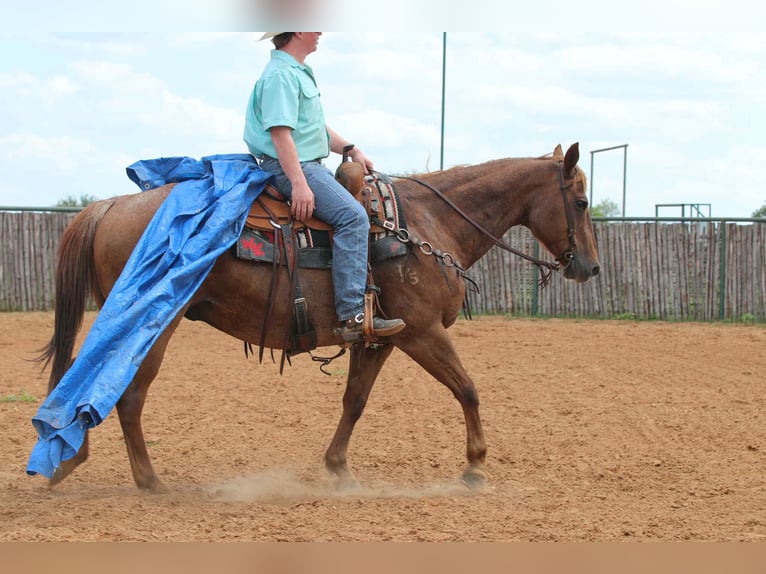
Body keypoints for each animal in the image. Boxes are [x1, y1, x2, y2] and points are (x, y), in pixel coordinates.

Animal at [36, 143, 599, 493]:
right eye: (581, 200)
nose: (590, 267)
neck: (423, 226)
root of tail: (108, 206)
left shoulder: (380, 338)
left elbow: (355, 401)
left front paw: (339, 470)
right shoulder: (423, 334)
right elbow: (468, 389)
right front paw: (476, 467)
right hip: (152, 325)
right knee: (127, 396)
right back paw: (147, 480)